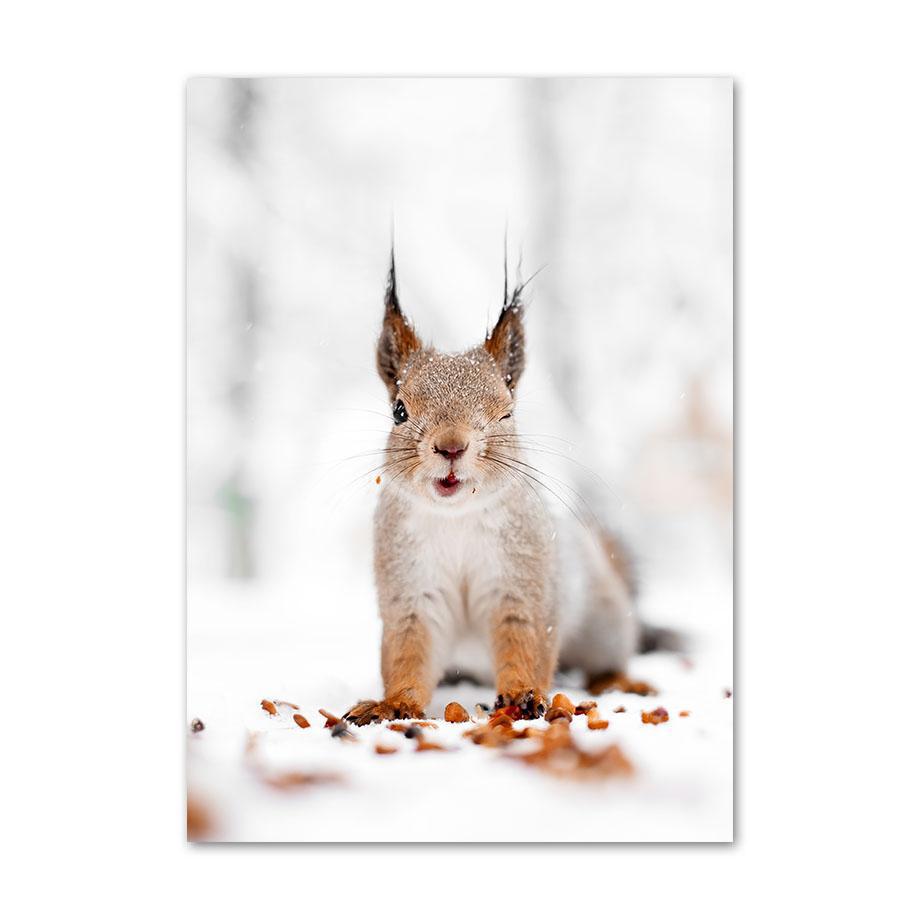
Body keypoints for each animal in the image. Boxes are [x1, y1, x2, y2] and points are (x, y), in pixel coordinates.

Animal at [344, 253, 655, 725]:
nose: (451, 446)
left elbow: (524, 640)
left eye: (507, 413)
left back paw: (618, 680)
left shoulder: (523, 582)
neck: (457, 518)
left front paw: (523, 695)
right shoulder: (411, 588)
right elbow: (408, 652)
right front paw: (393, 705)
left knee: (607, 658)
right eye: (398, 411)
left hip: (604, 623)